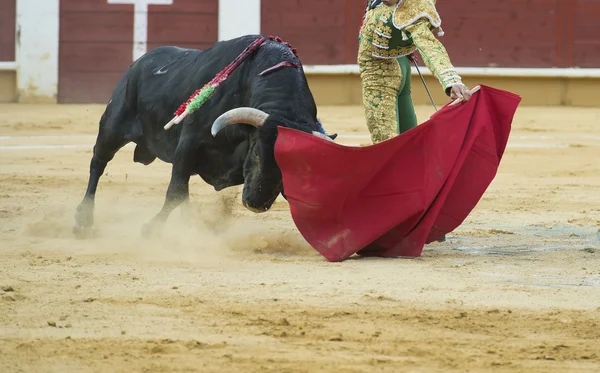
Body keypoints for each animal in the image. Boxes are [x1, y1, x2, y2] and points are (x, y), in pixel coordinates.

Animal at [72, 35, 336, 238]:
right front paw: (151, 229)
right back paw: (83, 219)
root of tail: (138, 63)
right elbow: (174, 191)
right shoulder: (189, 145)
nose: (256, 205)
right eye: (257, 154)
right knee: (98, 163)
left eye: (290, 168)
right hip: (112, 127)